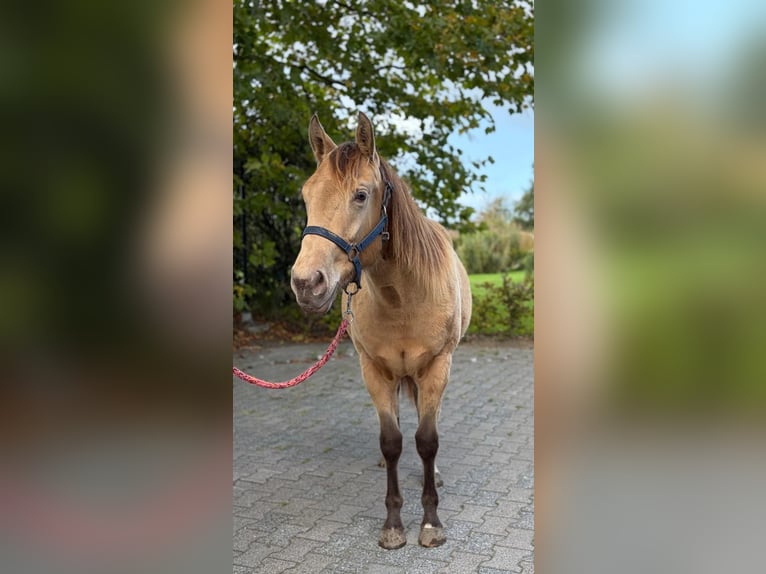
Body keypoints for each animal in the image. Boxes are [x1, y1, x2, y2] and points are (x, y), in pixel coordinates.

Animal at [290, 112, 472, 549]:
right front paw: (393, 524)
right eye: (306, 196)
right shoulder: (373, 369)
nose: (306, 284)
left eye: (360, 195)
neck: (402, 297)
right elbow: (391, 442)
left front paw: (431, 522)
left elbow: (427, 440)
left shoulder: (437, 367)